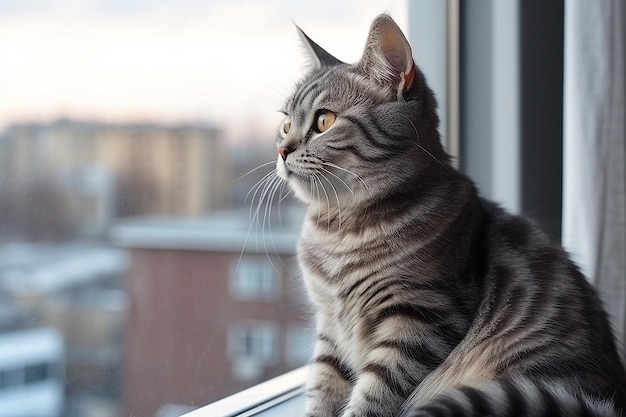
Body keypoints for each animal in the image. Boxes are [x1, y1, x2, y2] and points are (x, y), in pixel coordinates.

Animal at [272, 13, 624, 416]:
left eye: (324, 122)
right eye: (285, 124)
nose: (282, 149)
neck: (341, 229)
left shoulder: (423, 317)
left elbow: (374, 395)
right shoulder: (331, 327)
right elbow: (325, 387)